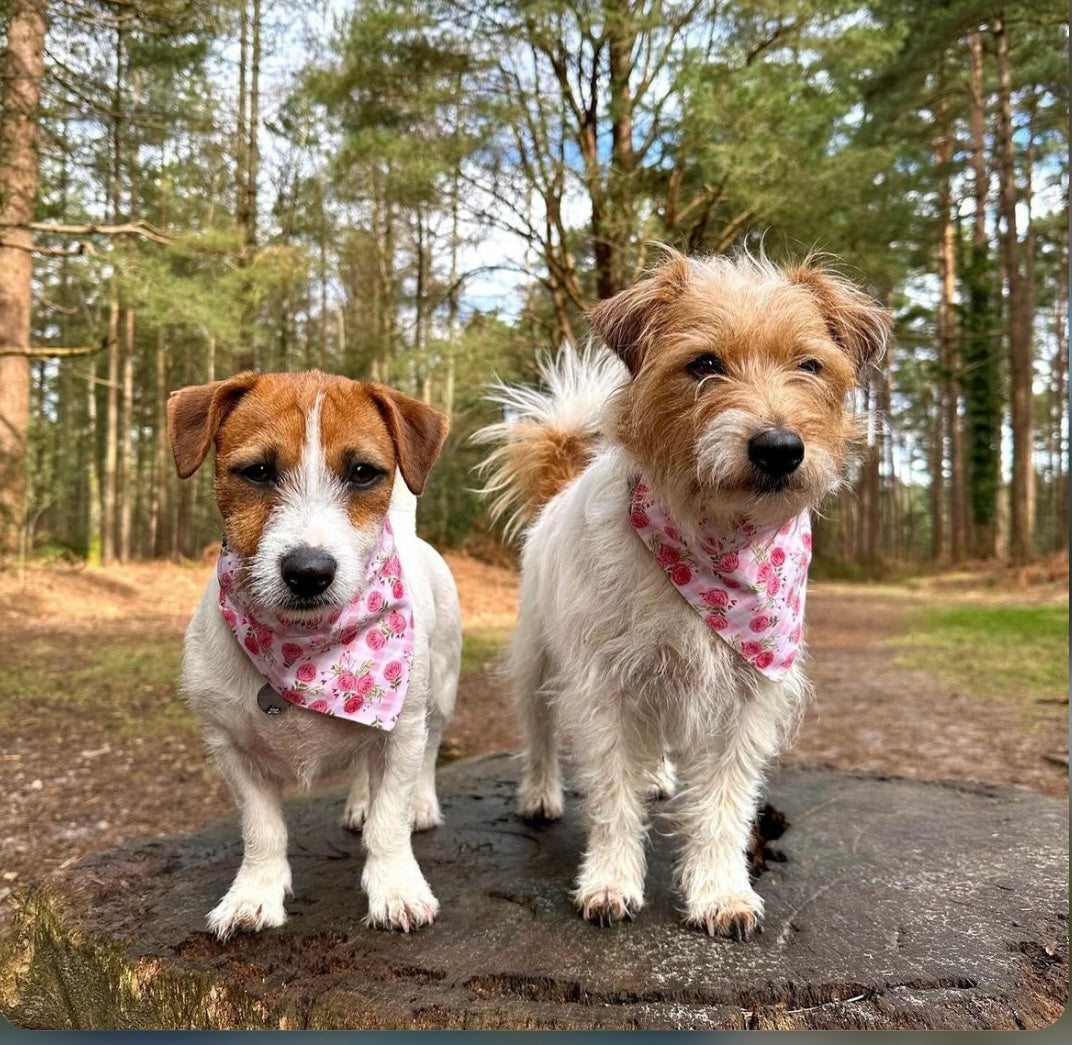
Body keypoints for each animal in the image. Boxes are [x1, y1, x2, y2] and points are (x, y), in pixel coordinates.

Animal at [167, 370, 460, 943]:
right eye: (258, 471)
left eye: (363, 473)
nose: (309, 571)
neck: (305, 649)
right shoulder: (229, 746)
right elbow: (261, 829)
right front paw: (254, 894)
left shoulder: (402, 729)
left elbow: (390, 822)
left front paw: (396, 887)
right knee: (364, 765)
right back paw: (359, 802)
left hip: (437, 694)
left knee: (427, 753)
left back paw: (420, 802)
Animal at [482, 247, 891, 938]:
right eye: (703, 364)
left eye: (809, 365)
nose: (780, 448)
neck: (718, 538)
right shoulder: (605, 685)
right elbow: (612, 798)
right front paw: (610, 881)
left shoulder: (747, 698)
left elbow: (724, 806)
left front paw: (721, 891)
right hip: (537, 657)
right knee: (538, 734)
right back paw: (540, 794)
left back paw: (657, 777)